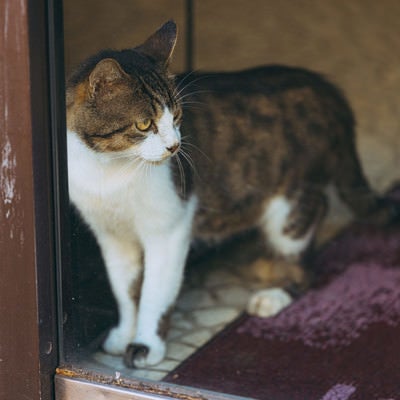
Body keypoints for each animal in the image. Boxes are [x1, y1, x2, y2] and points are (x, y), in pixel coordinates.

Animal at [65, 20, 396, 368]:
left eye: (177, 117)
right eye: (144, 124)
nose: (174, 146)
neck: (108, 173)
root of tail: (324, 87)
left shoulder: (168, 229)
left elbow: (155, 291)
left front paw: (145, 344)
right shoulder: (112, 236)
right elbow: (125, 290)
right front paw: (123, 335)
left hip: (291, 204)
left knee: (305, 257)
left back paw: (274, 293)